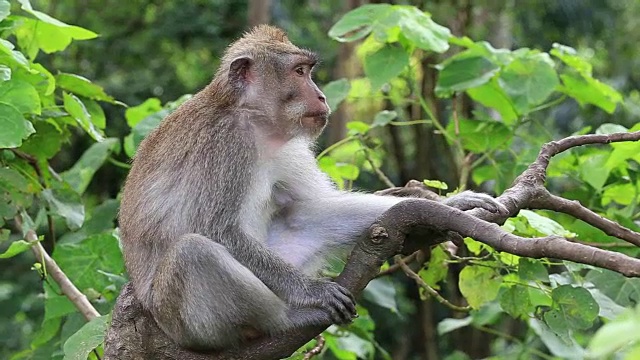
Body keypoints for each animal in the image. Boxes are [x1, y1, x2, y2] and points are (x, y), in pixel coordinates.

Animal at [116, 23, 504, 350]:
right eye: (299, 72)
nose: (321, 96)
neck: (253, 120)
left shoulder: (288, 146)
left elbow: (312, 203)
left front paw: (452, 204)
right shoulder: (227, 144)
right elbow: (218, 229)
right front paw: (313, 292)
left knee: (304, 217)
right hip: (184, 323)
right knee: (194, 251)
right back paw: (288, 318)